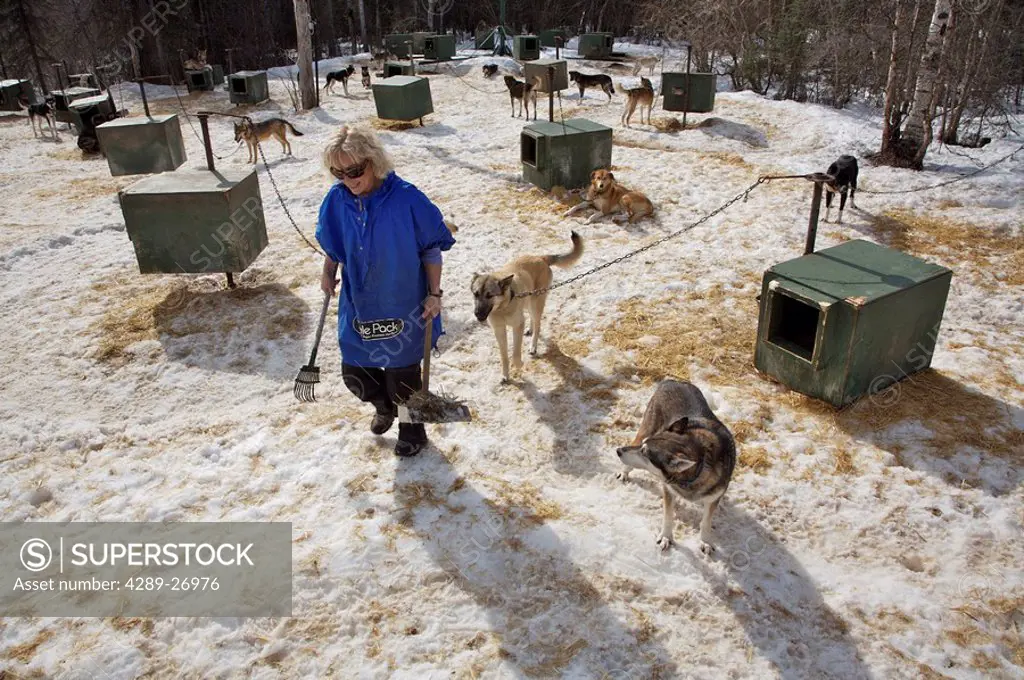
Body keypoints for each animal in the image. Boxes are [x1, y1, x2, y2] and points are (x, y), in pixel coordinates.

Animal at [471, 232, 585, 383]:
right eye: (476, 294)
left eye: (489, 295)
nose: (477, 314)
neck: (503, 307)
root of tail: (540, 258)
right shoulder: (499, 330)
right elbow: (504, 356)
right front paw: (505, 375)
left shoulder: (517, 325)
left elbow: (515, 354)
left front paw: (519, 365)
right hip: (528, 302)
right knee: (531, 318)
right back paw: (530, 330)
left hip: (536, 303)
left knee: (538, 325)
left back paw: (533, 346)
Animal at [614, 378, 737, 557]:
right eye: (643, 448)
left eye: (645, 453)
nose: (618, 450)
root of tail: (672, 380)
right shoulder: (668, 489)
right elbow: (668, 515)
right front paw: (666, 537)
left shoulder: (713, 497)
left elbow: (706, 521)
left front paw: (705, 541)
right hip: (646, 428)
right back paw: (624, 473)